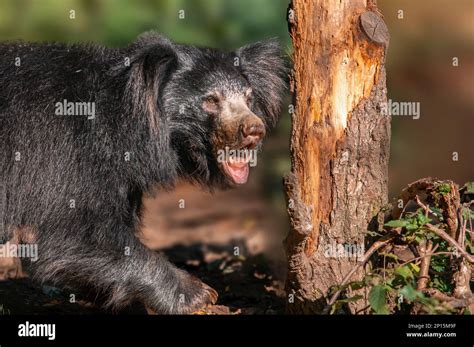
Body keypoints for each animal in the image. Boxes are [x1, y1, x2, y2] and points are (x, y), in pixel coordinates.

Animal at [0, 32, 286, 314]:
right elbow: (71, 232)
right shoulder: (64, 151)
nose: (254, 130)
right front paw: (199, 295)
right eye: (211, 100)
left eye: (249, 99)